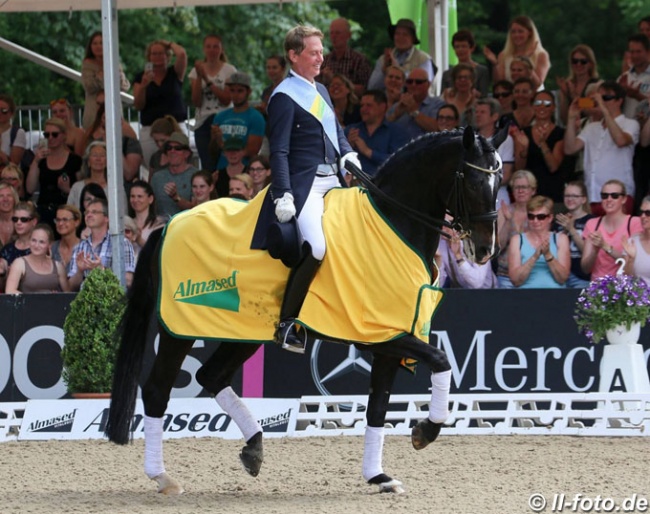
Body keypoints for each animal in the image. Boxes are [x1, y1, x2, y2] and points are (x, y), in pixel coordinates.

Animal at [105, 125, 502, 492]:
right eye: (472, 182)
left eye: (498, 182)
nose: (485, 251)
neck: (393, 223)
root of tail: (169, 225)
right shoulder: (383, 334)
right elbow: (441, 360)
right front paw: (425, 431)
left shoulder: (389, 338)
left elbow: (378, 405)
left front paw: (378, 476)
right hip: (180, 330)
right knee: (157, 390)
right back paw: (162, 476)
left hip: (244, 332)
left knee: (211, 376)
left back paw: (254, 448)